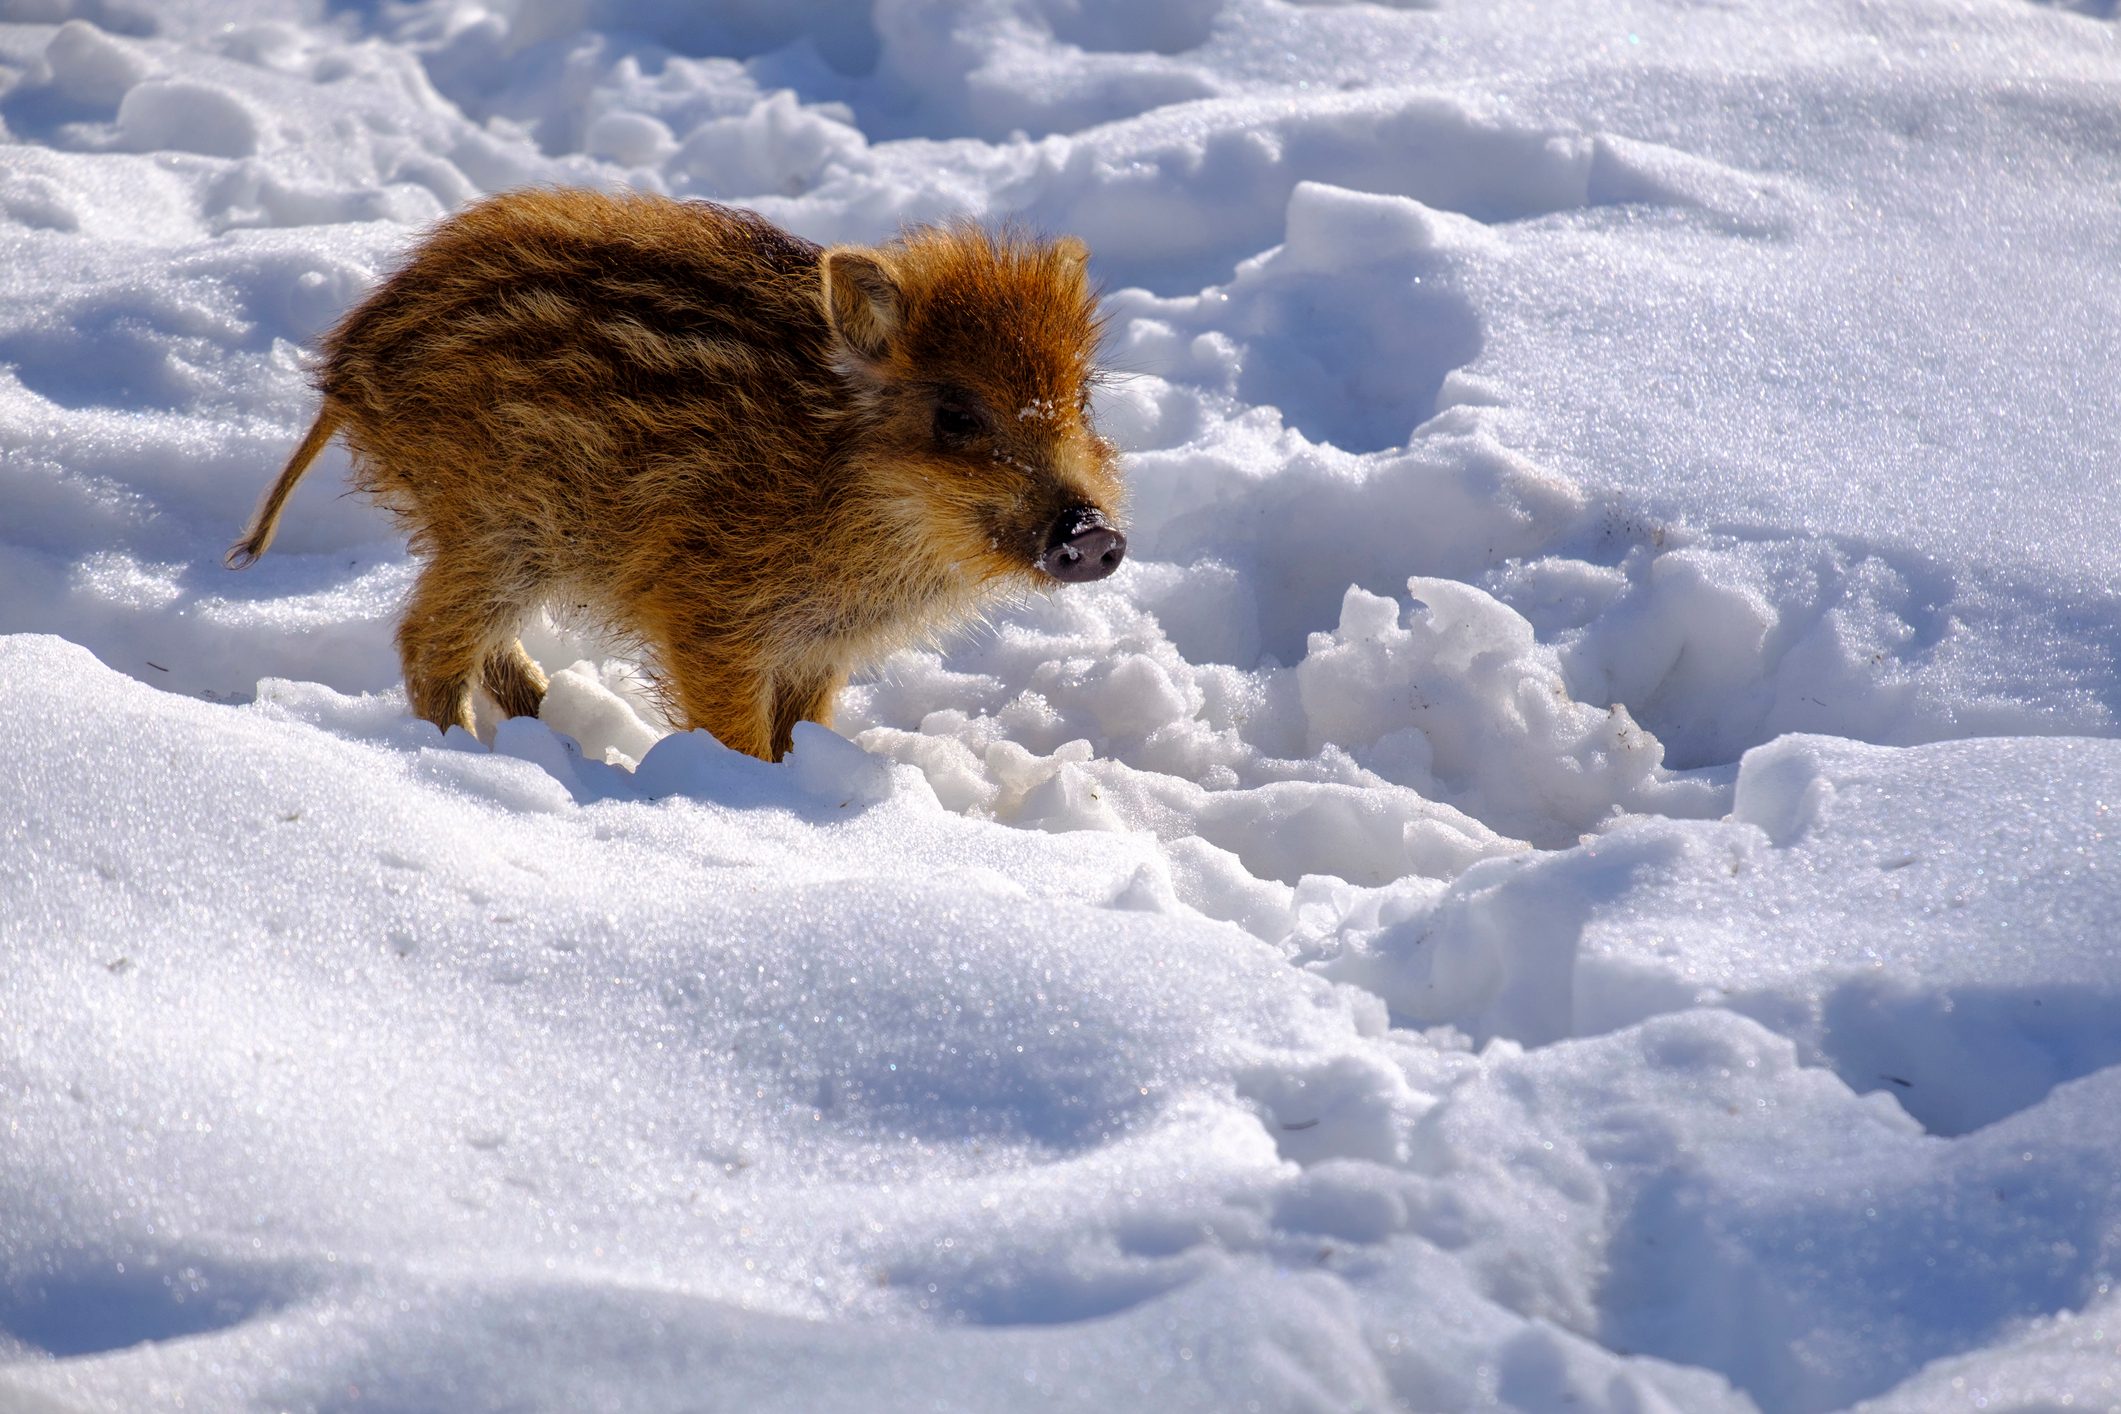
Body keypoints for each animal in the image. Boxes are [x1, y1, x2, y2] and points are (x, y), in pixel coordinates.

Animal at [228, 187, 1126, 760]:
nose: (1093, 534)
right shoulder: (708, 611)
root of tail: (349, 362)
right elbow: (740, 737)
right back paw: (476, 755)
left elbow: (801, 732)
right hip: (498, 524)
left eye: (1080, 398)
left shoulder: (814, 649)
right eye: (955, 414)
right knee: (428, 644)